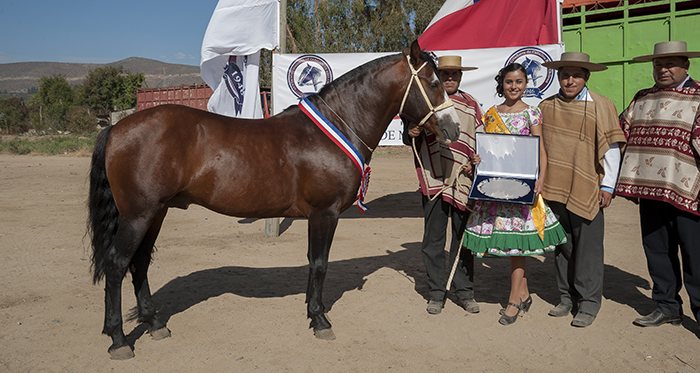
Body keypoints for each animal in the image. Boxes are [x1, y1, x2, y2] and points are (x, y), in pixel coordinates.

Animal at [87, 40, 460, 358]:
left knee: (139, 263)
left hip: (157, 213)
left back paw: (154, 324)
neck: (335, 128)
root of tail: (117, 128)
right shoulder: (325, 213)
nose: (453, 129)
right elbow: (320, 264)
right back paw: (119, 340)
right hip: (138, 215)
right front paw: (320, 320)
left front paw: (311, 312)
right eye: (432, 82)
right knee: (117, 265)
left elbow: (313, 263)